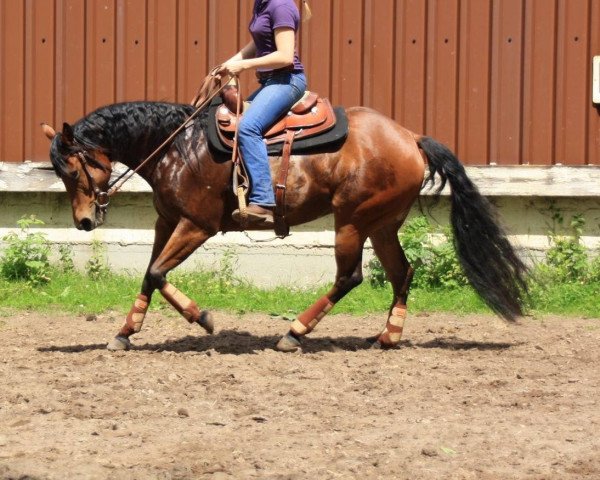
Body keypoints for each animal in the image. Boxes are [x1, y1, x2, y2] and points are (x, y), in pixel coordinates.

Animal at [43, 96, 524, 352]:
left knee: (350, 276)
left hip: (352, 221)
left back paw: (294, 332)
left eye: (74, 169)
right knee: (401, 272)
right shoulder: (167, 222)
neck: (177, 147)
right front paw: (124, 333)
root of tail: (411, 138)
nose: (83, 221)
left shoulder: (196, 225)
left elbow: (159, 272)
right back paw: (387, 336)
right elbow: (148, 274)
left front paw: (205, 320)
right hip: (382, 224)